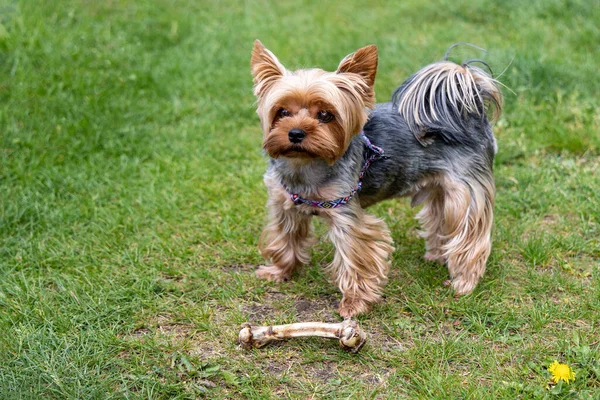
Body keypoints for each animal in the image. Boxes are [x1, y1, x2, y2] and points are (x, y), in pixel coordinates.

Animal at [251, 39, 504, 316]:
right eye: (282, 111)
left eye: (326, 115)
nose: (295, 133)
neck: (305, 164)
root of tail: (470, 109)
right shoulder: (283, 205)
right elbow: (285, 238)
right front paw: (279, 271)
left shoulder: (346, 213)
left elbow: (355, 257)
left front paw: (353, 303)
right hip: (439, 186)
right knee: (440, 217)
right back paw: (437, 256)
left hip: (466, 190)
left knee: (470, 233)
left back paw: (464, 282)